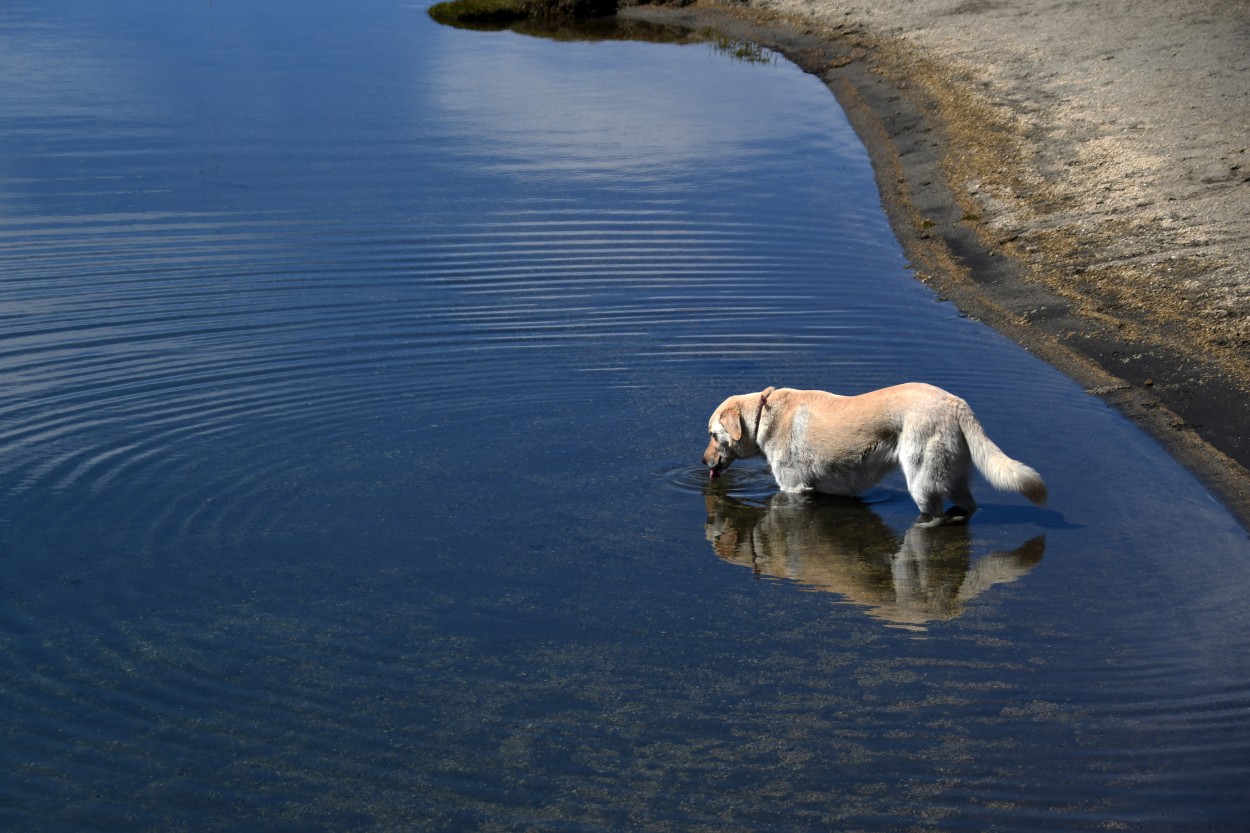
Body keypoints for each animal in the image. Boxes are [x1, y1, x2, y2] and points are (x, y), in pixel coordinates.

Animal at [705, 380, 1045, 522]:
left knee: (932, 514)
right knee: (969, 505)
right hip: (953, 475)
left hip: (922, 480)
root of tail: (956, 404)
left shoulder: (793, 488)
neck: (764, 415)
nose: (702, 460)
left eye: (711, 435)